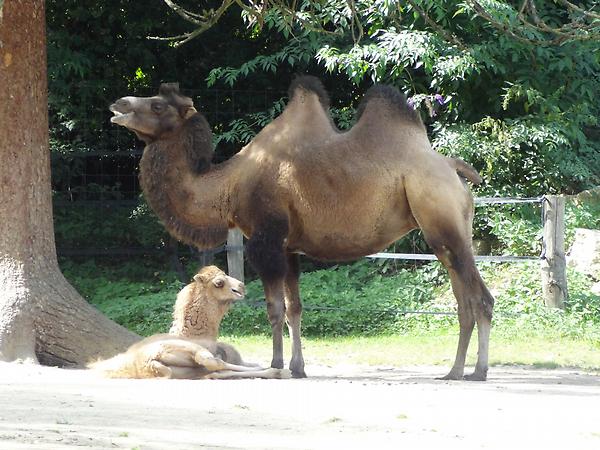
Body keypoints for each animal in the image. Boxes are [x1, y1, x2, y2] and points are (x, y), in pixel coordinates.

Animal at [89, 266, 290, 379]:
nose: (240, 287)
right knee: (213, 363)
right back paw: (279, 372)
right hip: (189, 353)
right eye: (219, 282)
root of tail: (148, 362)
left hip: (183, 370)